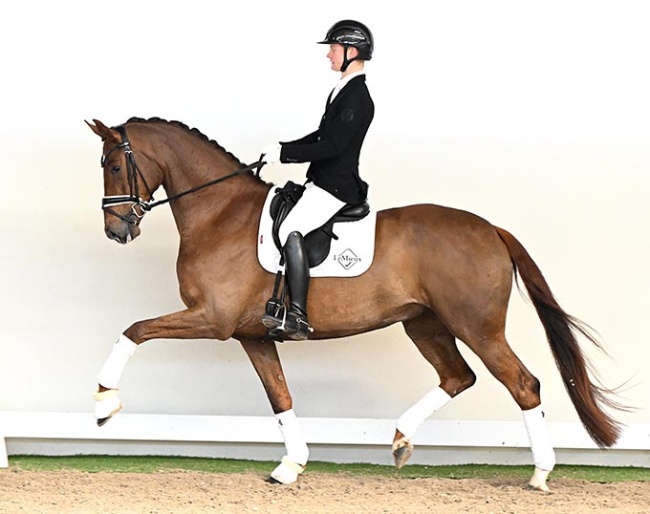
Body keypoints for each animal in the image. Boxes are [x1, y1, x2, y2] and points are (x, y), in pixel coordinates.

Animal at [86, 116, 622, 491]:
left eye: (113, 166)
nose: (116, 231)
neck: (221, 214)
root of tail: (491, 228)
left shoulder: (212, 321)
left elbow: (134, 329)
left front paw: (105, 402)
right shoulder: (251, 334)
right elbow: (280, 397)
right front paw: (290, 466)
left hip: (477, 326)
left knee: (523, 384)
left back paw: (540, 474)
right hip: (424, 324)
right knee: (458, 377)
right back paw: (402, 440)